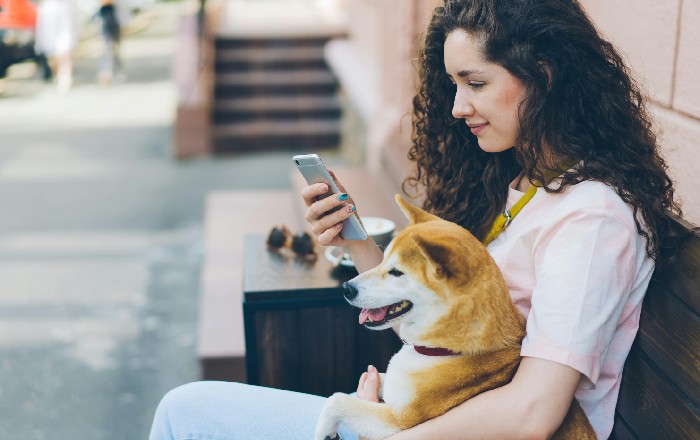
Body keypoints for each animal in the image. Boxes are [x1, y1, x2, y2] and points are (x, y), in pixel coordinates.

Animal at [318, 195, 596, 440]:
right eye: (383, 260)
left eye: (397, 272)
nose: (347, 288)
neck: (444, 351)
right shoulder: (395, 388)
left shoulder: (399, 421)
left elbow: (337, 400)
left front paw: (323, 430)